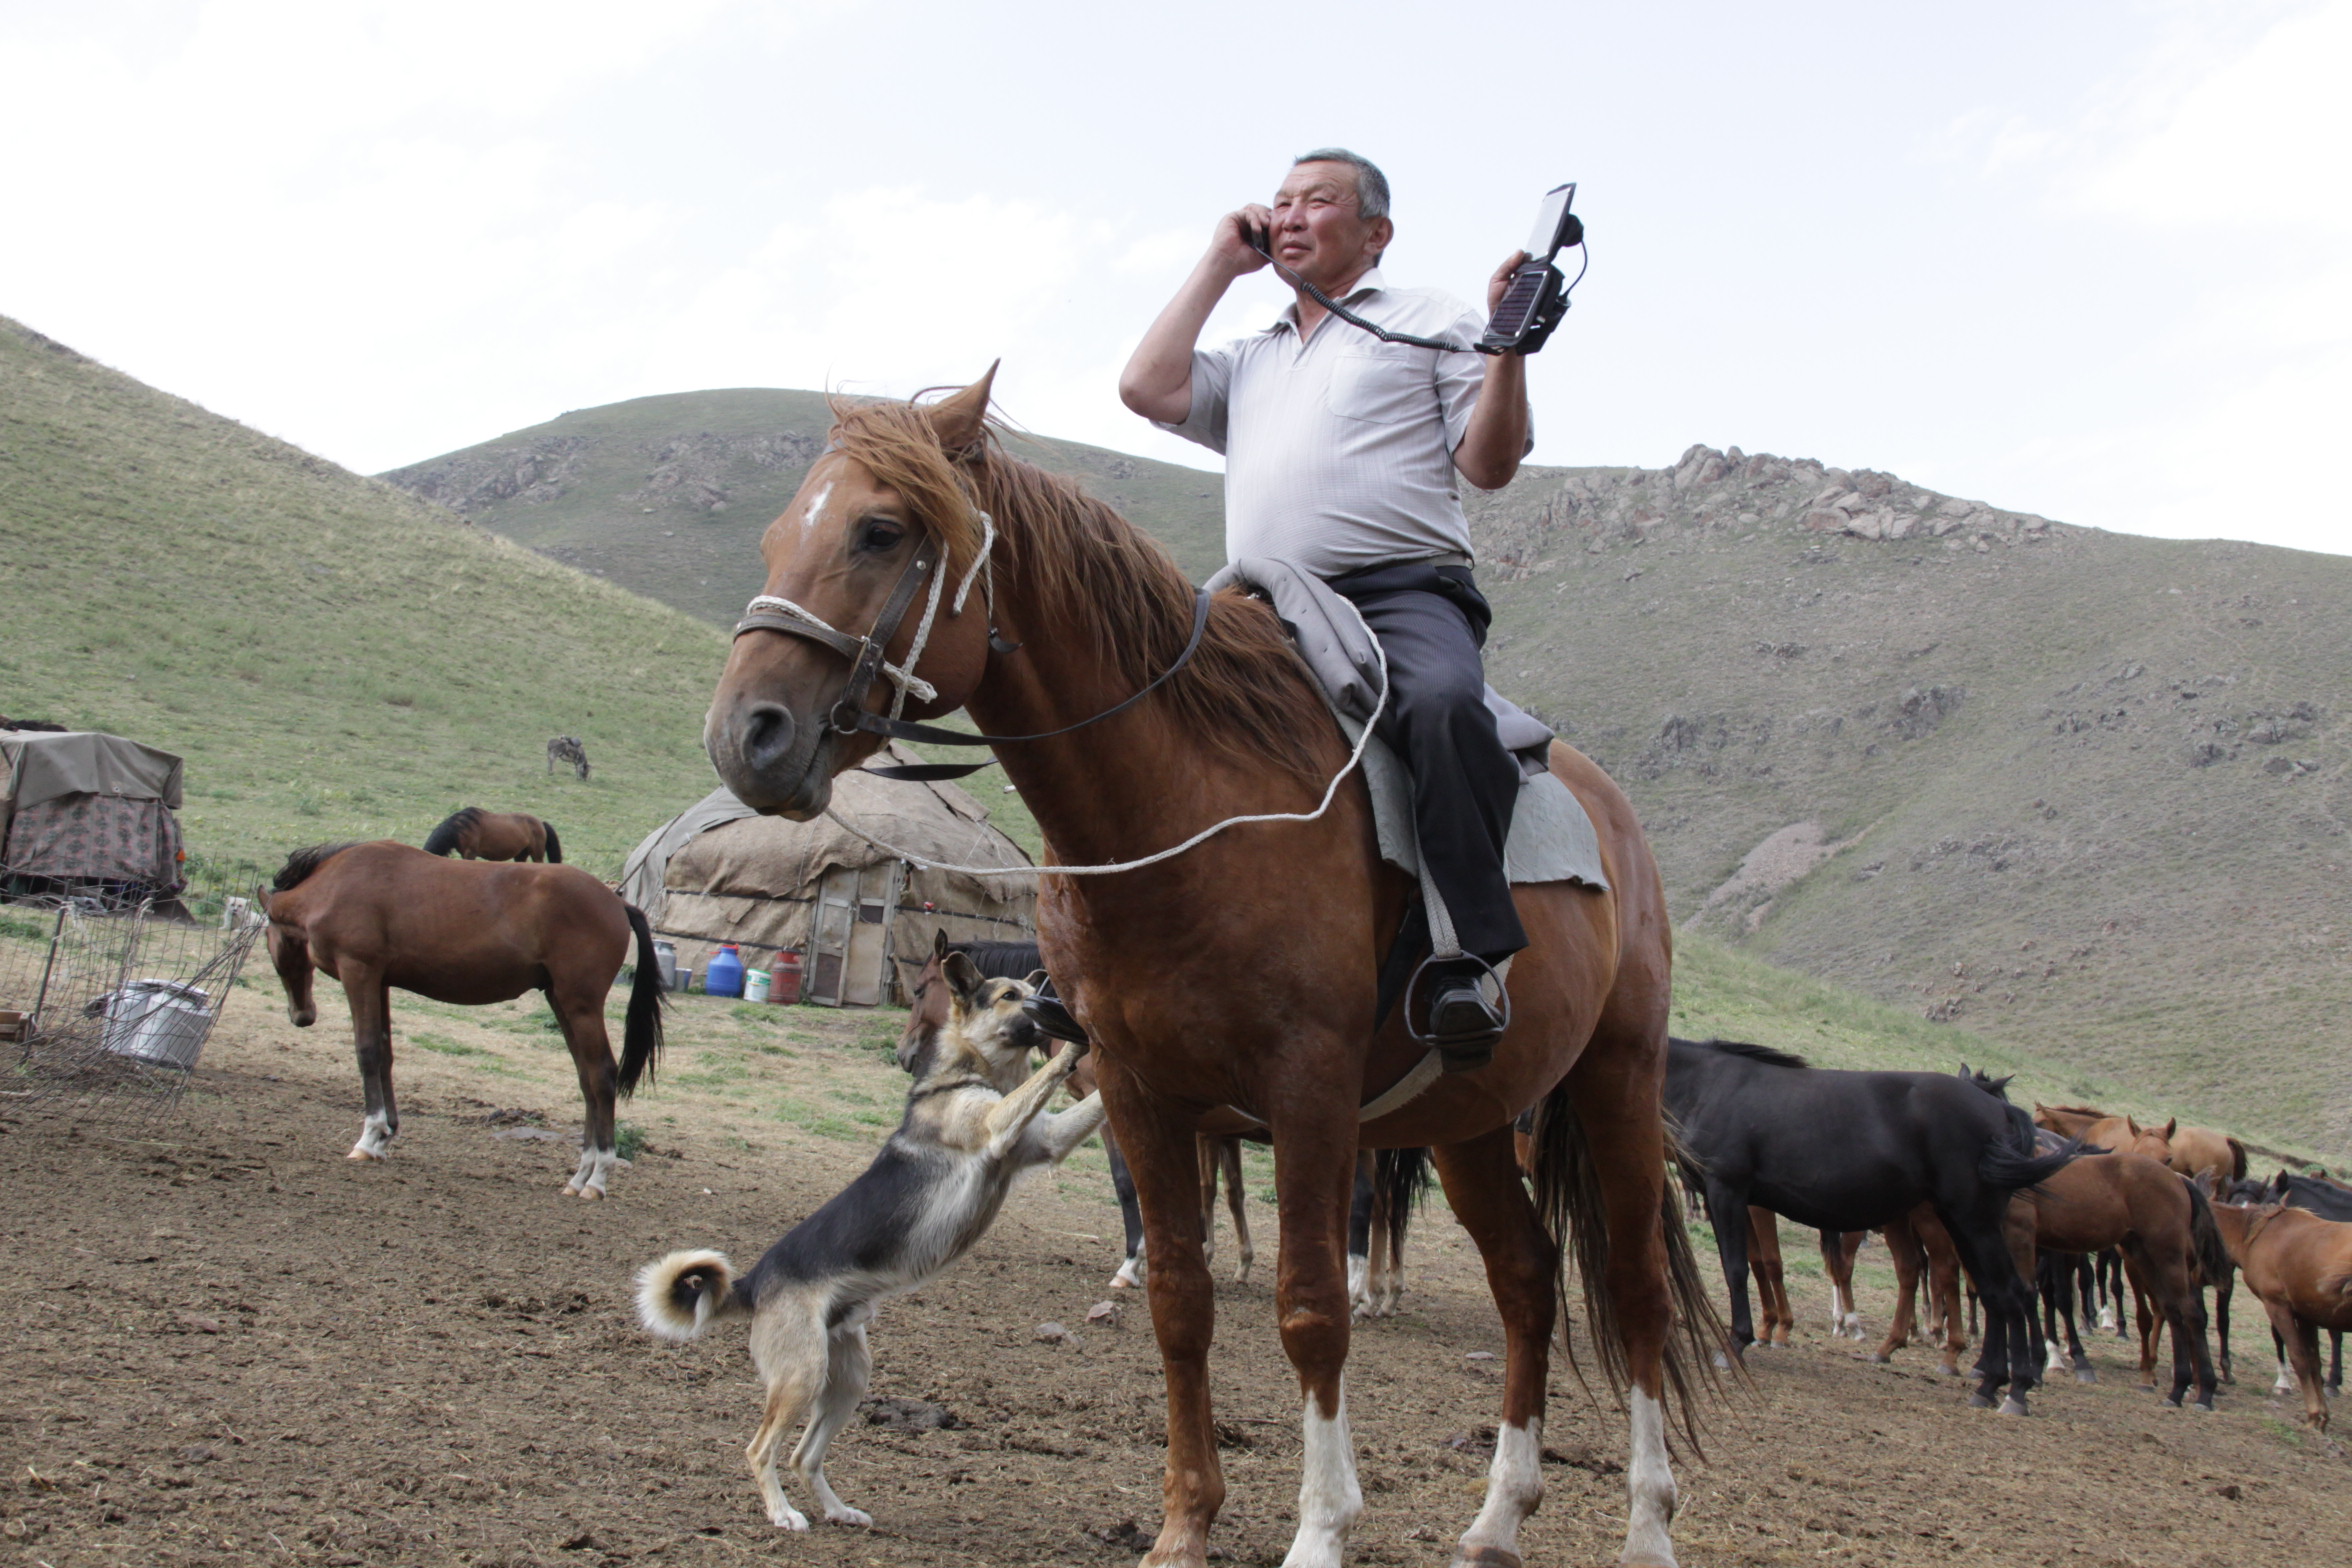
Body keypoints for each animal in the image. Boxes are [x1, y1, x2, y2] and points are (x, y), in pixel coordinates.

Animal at [256, 841, 664, 1197]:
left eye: (272, 940)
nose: (302, 1015)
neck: (335, 884)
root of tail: (617, 902)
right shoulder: (380, 981)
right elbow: (385, 1054)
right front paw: (386, 1136)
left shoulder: (359, 972)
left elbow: (367, 1051)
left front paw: (369, 1137)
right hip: (560, 1001)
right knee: (586, 1079)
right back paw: (579, 1176)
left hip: (580, 1004)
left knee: (602, 1075)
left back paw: (597, 1177)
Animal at [635, 953, 1104, 1531]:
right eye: (1009, 997)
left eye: (1027, 989)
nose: (1050, 997)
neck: (973, 1073)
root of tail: (753, 1281)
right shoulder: (998, 1123)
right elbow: (1041, 1080)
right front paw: (1080, 1047)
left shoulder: (1048, 1141)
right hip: (803, 1376)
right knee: (761, 1449)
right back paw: (783, 1514)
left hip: (849, 1379)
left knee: (803, 1456)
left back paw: (838, 1511)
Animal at [705, 373, 1722, 1568]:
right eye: (778, 535)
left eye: (880, 530)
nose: (746, 735)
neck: (1183, 811)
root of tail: (1611, 815)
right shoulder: (1145, 1094)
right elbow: (1178, 1299)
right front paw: (1185, 1522)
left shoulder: (1308, 1091)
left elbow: (1311, 1307)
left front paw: (1321, 1527)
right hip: (1469, 1116)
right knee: (1527, 1280)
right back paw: (1497, 1516)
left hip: (1616, 1079)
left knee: (1637, 1290)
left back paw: (1647, 1525)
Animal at [1664, 1037, 2076, 1412]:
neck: (1705, 1085)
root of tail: (2001, 1110)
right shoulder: (1739, 1201)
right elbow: (1755, 1265)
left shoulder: (1726, 1191)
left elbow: (1735, 1269)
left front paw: (1735, 1342)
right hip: (1961, 1224)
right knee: (1994, 1294)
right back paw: (1990, 1380)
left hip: (1975, 1223)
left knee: (2010, 1293)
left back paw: (2015, 1388)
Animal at [2205, 1194, 2352, 1431]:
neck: (2257, 1235)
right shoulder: (2306, 1316)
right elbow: (2313, 1362)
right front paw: (2322, 1416)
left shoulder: (2277, 1306)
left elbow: (2298, 1358)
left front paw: (2312, 1414)